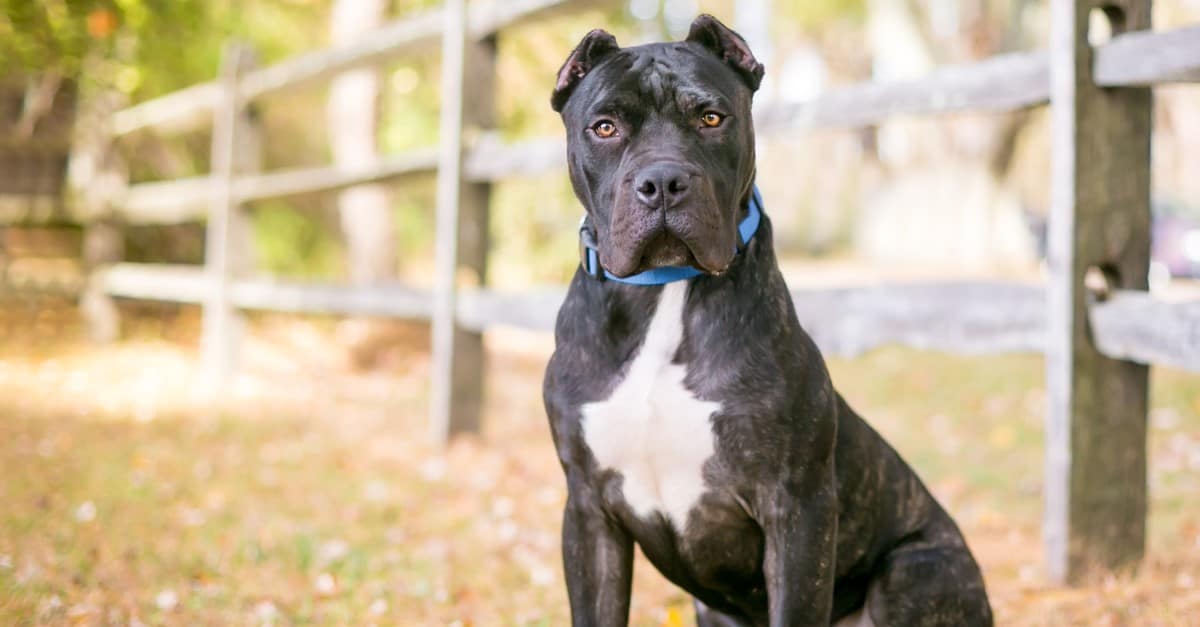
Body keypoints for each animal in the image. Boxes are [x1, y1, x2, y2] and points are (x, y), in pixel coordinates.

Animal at [544, 14, 993, 624]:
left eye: (711, 118)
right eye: (605, 127)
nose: (662, 182)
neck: (664, 294)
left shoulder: (797, 510)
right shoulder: (590, 516)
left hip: (917, 571)